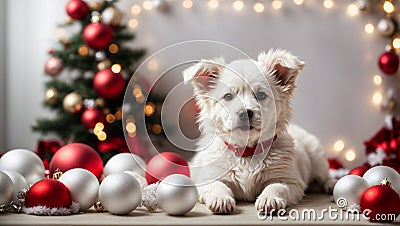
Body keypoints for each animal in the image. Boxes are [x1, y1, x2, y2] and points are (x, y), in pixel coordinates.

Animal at [183, 49, 336, 214]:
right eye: (228, 96)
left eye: (261, 95)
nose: (245, 113)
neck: (247, 153)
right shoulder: (207, 179)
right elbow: (217, 186)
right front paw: (220, 199)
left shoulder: (290, 180)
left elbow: (277, 186)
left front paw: (269, 199)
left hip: (317, 158)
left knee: (325, 175)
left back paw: (332, 184)